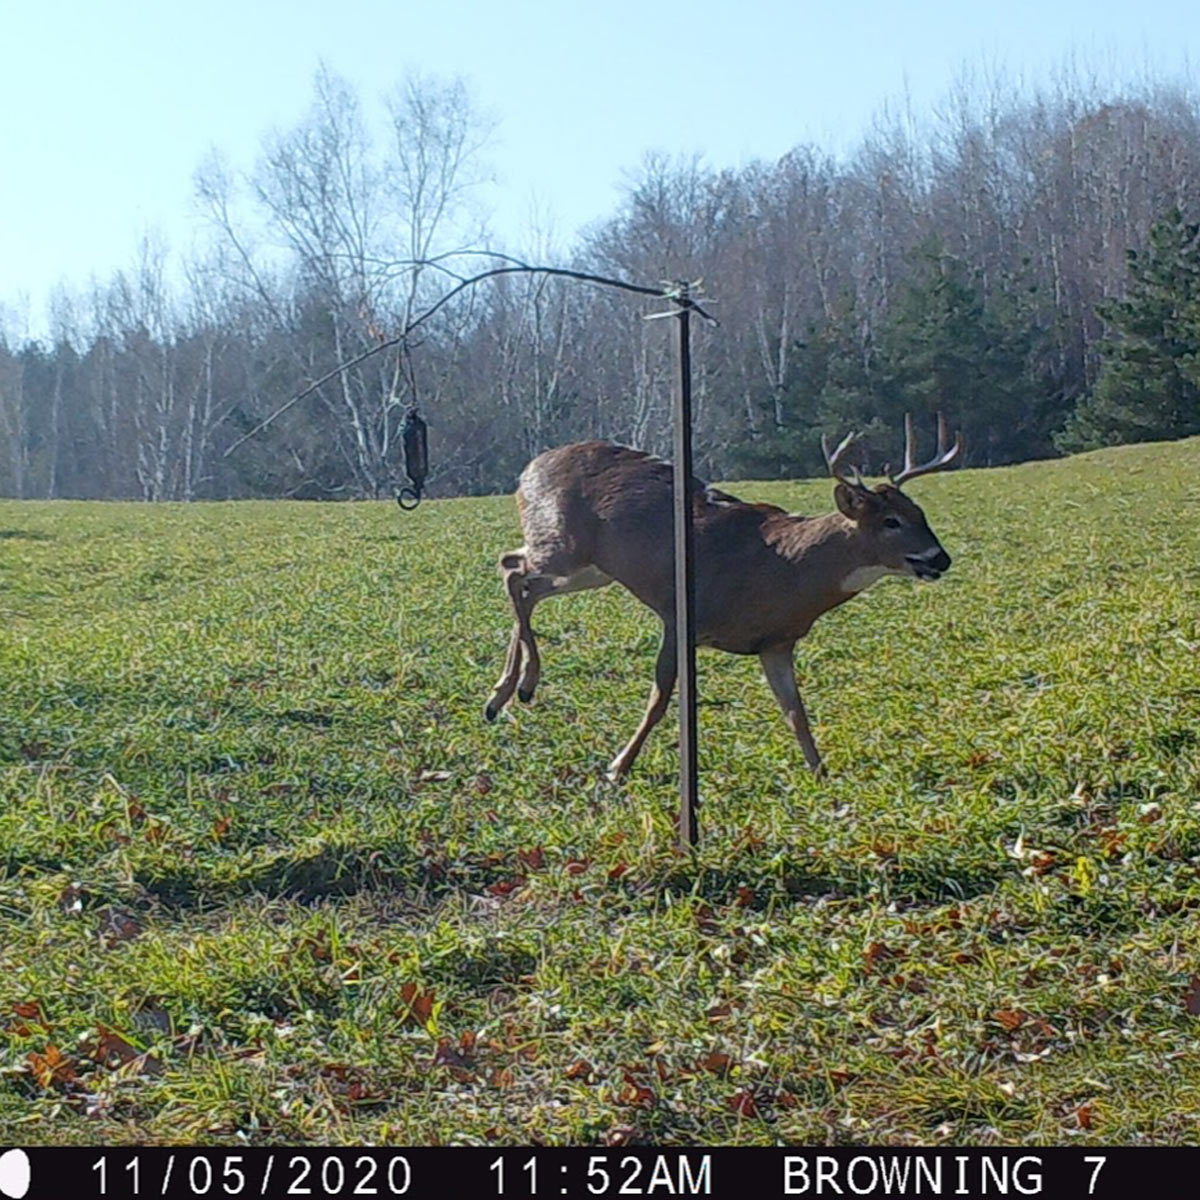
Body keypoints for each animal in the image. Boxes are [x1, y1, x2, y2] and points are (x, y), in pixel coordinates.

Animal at [482, 412, 960, 777]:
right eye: (891, 521)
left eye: (921, 512)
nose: (940, 558)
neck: (785, 567)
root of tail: (528, 469)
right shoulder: (681, 614)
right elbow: (659, 699)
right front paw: (618, 767)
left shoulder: (776, 643)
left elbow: (795, 712)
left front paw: (822, 775)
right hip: (564, 546)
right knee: (511, 568)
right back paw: (521, 686)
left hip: (592, 570)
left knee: (525, 582)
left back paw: (503, 694)